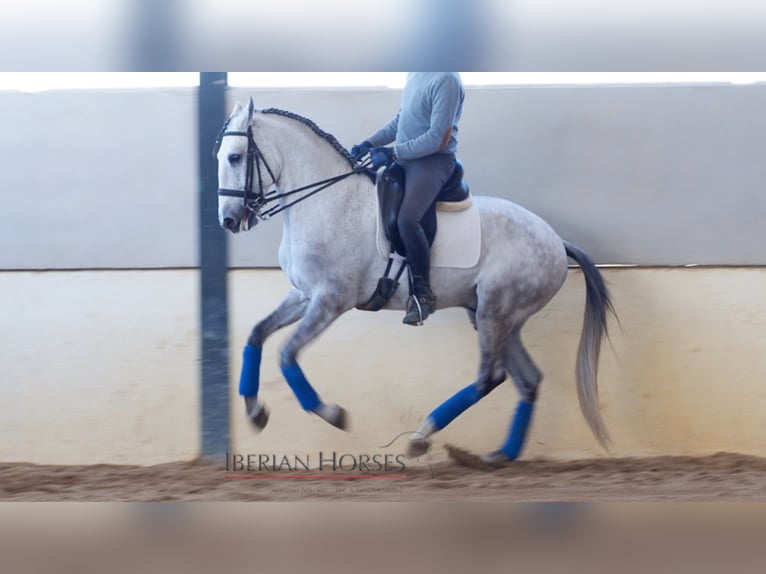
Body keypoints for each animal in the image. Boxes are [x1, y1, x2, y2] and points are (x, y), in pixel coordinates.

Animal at [216, 100, 616, 468]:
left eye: (235, 157)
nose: (228, 221)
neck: (326, 202)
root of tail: (556, 240)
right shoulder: (303, 295)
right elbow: (256, 334)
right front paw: (255, 411)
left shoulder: (330, 300)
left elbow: (286, 354)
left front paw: (333, 414)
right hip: (498, 318)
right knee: (527, 379)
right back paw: (500, 455)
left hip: (495, 312)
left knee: (490, 377)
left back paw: (423, 437)